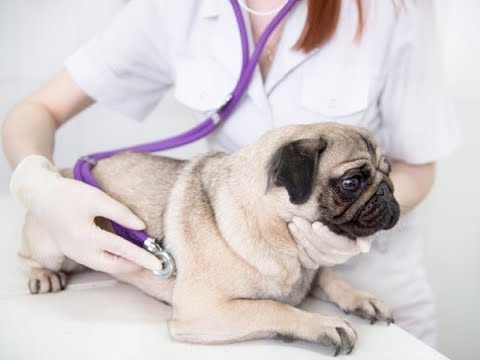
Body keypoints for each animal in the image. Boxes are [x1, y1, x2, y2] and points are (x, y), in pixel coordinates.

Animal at [18, 122, 400, 356]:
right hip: (55, 245)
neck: (281, 239)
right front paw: (321, 323)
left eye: (390, 172)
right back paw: (42, 275)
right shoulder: (202, 311)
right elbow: (272, 307)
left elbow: (330, 276)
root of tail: (64, 172)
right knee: (28, 255)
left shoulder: (311, 266)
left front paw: (361, 298)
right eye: (351, 182)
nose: (388, 193)